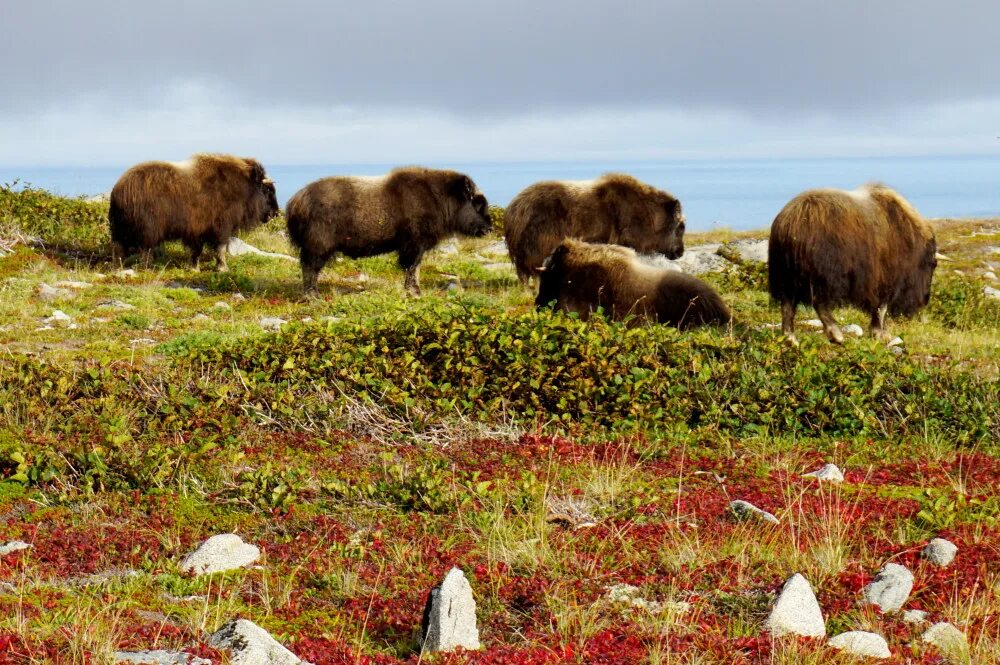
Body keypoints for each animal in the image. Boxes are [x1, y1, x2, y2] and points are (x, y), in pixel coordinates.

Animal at [109, 154, 278, 272]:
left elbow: (197, 250)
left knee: (119, 248)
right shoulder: (221, 227)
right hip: (146, 230)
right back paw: (147, 267)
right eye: (267, 190)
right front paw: (223, 268)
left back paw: (118, 267)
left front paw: (194, 268)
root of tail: (119, 189)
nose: (275, 213)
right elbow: (220, 248)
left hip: (120, 230)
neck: (243, 186)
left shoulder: (197, 230)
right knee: (145, 248)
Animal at [286, 166, 492, 294]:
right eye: (477, 203)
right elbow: (412, 267)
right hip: (318, 246)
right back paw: (313, 295)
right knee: (310, 268)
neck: (439, 197)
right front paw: (414, 291)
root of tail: (296, 201)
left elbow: (415, 268)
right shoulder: (414, 245)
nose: (489, 228)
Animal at [764, 184, 936, 344]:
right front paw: (879, 333)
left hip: (786, 275)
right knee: (819, 303)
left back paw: (791, 339)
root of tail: (793, 221)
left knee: (788, 305)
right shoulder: (885, 280)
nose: (925, 300)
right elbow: (881, 308)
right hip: (825, 276)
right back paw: (836, 335)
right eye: (932, 265)